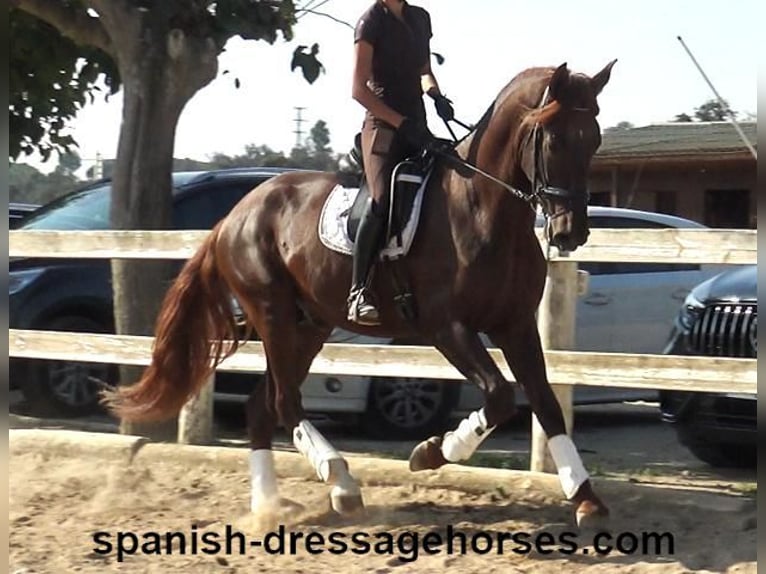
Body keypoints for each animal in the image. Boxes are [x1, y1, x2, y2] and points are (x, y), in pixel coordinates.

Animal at [105, 60, 616, 528]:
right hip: (273, 313)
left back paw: (269, 505)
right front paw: (430, 452)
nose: (571, 233)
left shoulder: (515, 325)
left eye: (593, 139)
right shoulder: (447, 327)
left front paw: (586, 498)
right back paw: (340, 482)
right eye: (553, 140)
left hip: (308, 327)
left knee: (261, 407)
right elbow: (500, 396)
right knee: (284, 403)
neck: (483, 210)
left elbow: (545, 402)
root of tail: (233, 216)